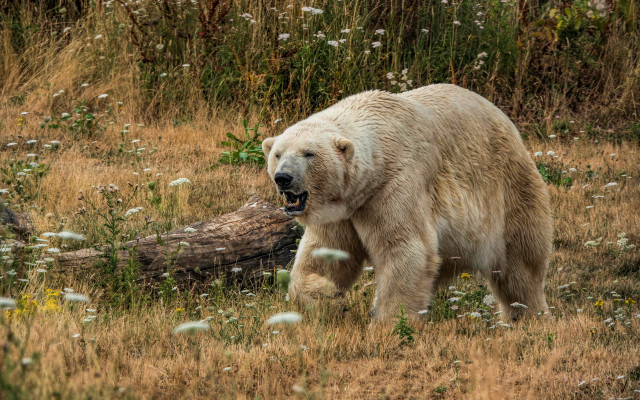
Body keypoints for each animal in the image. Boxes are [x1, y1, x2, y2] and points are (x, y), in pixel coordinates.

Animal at [262, 84, 552, 321]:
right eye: (277, 154)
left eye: (308, 154)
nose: (283, 178)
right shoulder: (342, 208)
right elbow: (326, 252)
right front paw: (329, 296)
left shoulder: (393, 186)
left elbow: (405, 249)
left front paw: (388, 324)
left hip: (509, 189)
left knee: (520, 263)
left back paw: (528, 315)